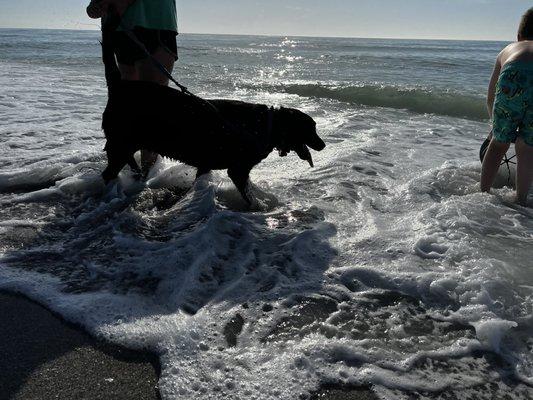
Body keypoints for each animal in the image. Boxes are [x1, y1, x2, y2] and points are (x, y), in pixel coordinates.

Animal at [99, 19, 324, 203]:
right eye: (311, 128)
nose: (322, 145)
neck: (268, 124)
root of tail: (119, 86)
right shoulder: (238, 170)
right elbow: (249, 197)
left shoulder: (205, 164)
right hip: (120, 144)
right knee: (108, 174)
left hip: (127, 144)